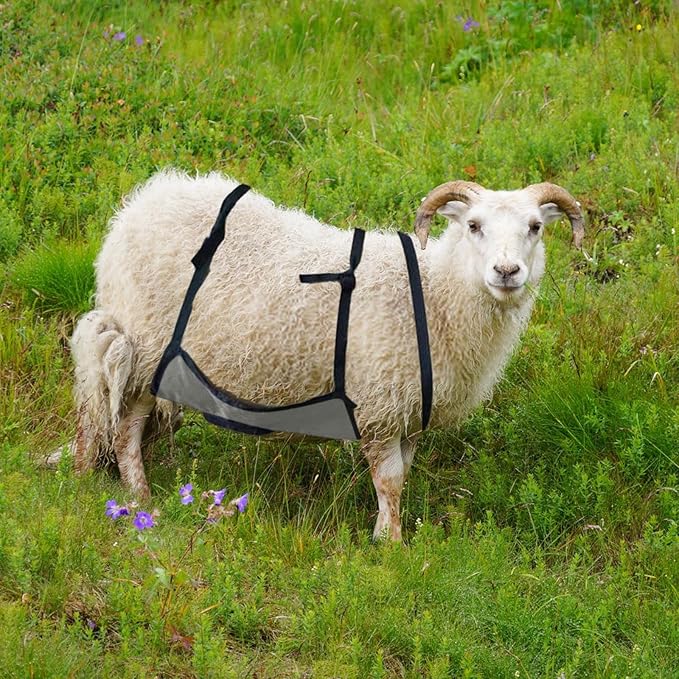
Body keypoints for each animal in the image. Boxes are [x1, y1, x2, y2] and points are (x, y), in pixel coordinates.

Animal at [70, 170, 584, 540]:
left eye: (535, 228)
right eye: (474, 226)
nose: (507, 271)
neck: (435, 296)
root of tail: (140, 203)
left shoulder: (409, 411)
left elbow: (401, 477)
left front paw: (383, 534)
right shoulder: (379, 405)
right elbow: (390, 480)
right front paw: (392, 547)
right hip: (143, 347)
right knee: (123, 425)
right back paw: (139, 499)